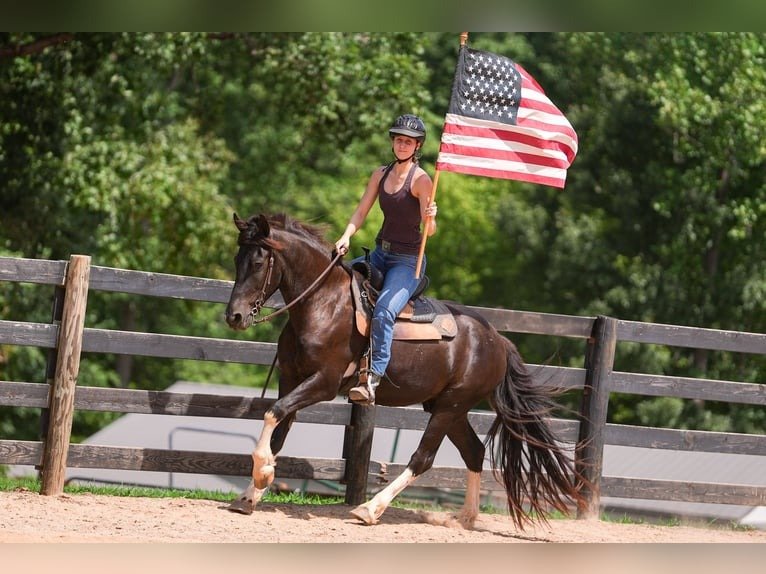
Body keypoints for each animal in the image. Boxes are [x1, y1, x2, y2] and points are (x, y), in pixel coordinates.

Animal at [224, 212, 585, 529]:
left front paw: (263, 474)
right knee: (474, 452)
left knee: (423, 458)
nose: (234, 316)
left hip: (450, 406)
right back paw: (465, 519)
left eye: (258, 263)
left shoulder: (323, 383)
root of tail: (498, 341)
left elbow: (273, 413)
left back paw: (370, 509)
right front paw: (250, 495)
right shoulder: (291, 378)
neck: (325, 305)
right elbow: (278, 428)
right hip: (449, 408)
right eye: (236, 259)